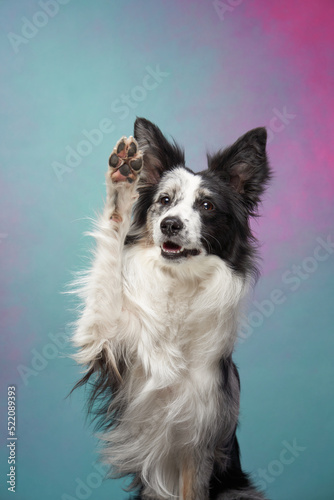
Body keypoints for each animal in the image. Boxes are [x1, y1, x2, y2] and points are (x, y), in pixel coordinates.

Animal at [71, 118, 272, 500]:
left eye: (207, 206)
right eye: (164, 201)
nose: (170, 224)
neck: (180, 282)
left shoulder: (198, 440)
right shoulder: (107, 339)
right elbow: (109, 262)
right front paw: (122, 180)